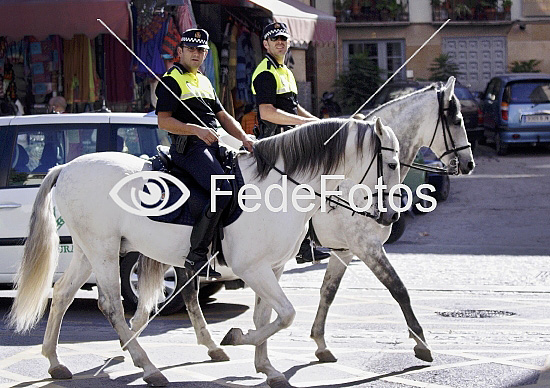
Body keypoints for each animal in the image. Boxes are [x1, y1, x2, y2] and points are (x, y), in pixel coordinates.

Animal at [7, 116, 402, 386]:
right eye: (393, 163)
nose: (392, 215)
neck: (281, 188)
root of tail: (65, 166)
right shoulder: (252, 269)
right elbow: (285, 315)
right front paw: (237, 338)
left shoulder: (271, 269)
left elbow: (267, 317)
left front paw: (267, 368)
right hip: (103, 251)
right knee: (111, 305)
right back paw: (148, 366)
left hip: (88, 250)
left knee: (62, 295)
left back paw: (55, 361)